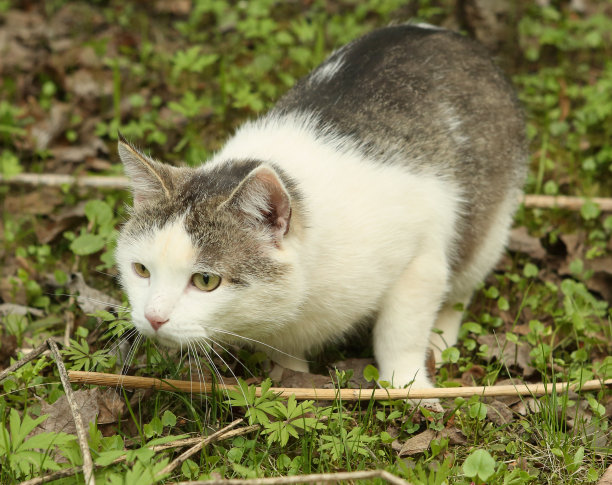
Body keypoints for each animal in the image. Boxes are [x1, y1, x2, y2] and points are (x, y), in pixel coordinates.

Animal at [115, 23, 524, 390]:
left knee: (462, 285)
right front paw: (294, 381)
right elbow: (286, 357)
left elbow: (399, 334)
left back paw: (440, 339)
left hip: (488, 227)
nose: (153, 317)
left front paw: (411, 389)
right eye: (141, 270)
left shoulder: (422, 256)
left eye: (206, 281)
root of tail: (448, 34)